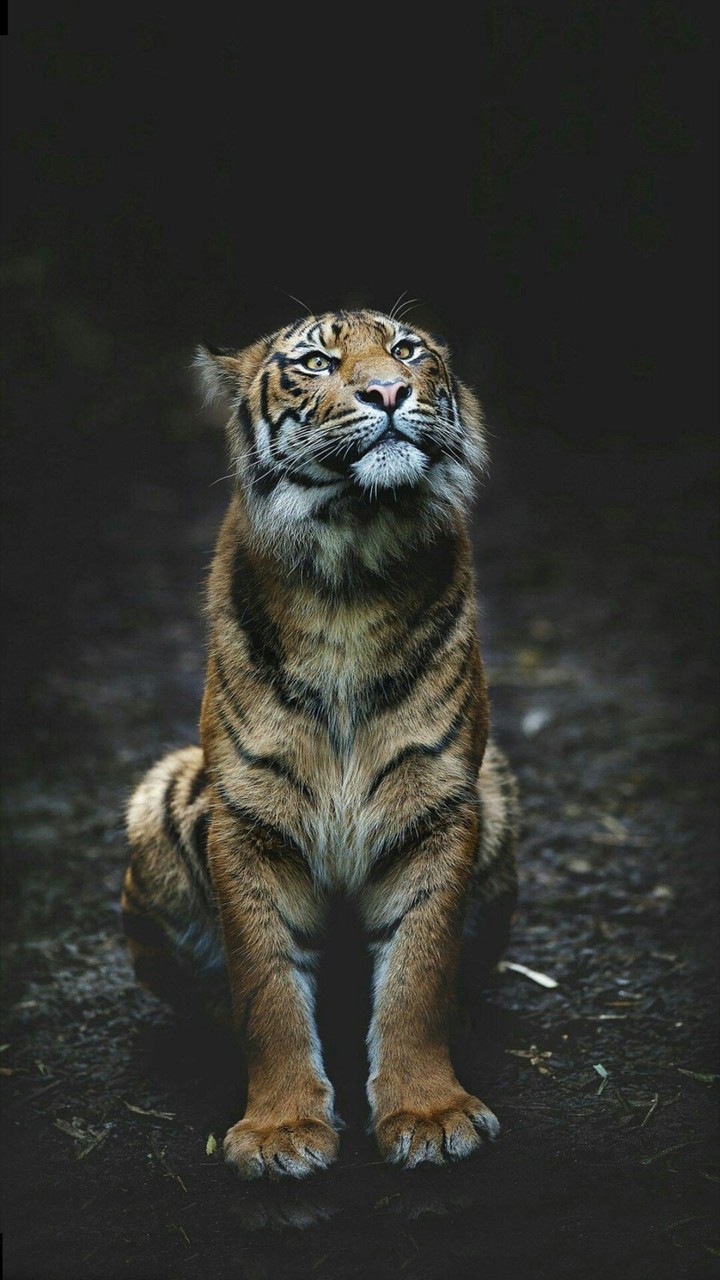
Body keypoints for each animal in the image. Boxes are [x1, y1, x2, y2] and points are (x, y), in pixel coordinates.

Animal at [122, 308, 518, 1179]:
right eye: (315, 362)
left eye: (407, 350)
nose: (390, 391)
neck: (352, 571)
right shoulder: (249, 817)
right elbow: (267, 987)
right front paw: (279, 1130)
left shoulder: (439, 804)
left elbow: (416, 975)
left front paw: (428, 1114)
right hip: (158, 800)